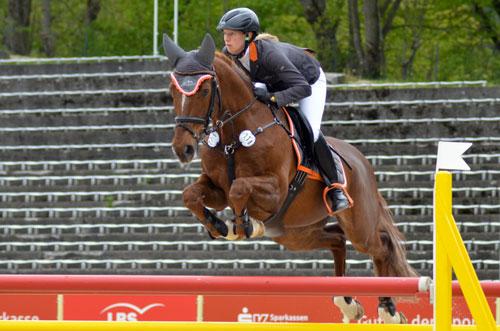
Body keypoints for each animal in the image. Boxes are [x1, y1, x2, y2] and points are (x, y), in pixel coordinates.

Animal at [162, 33, 416, 324]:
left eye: (204, 91)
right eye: (173, 91)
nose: (182, 149)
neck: (234, 135)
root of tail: (363, 161)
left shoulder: (274, 191)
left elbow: (239, 188)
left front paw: (242, 225)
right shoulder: (216, 189)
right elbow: (191, 195)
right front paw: (218, 225)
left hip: (358, 224)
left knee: (381, 245)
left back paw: (388, 309)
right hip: (294, 233)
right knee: (337, 239)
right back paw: (347, 302)